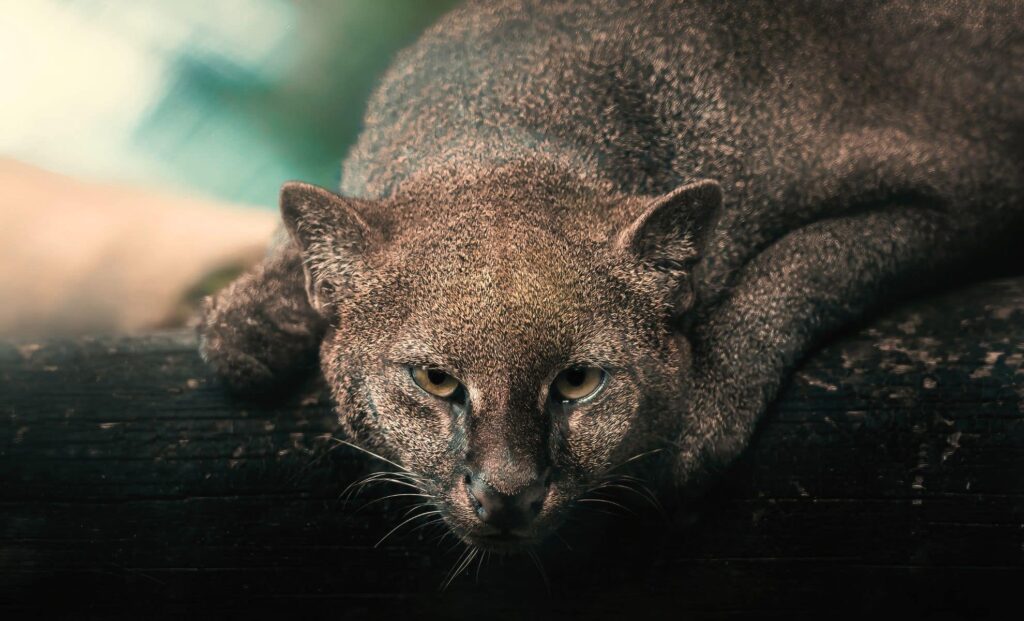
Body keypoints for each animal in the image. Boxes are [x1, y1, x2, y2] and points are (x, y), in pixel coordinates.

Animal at [199, 0, 1023, 550]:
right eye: (436, 381)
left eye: (578, 382)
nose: (507, 495)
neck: (510, 114)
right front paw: (248, 312)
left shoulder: (964, 195)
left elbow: (807, 261)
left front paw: (704, 409)